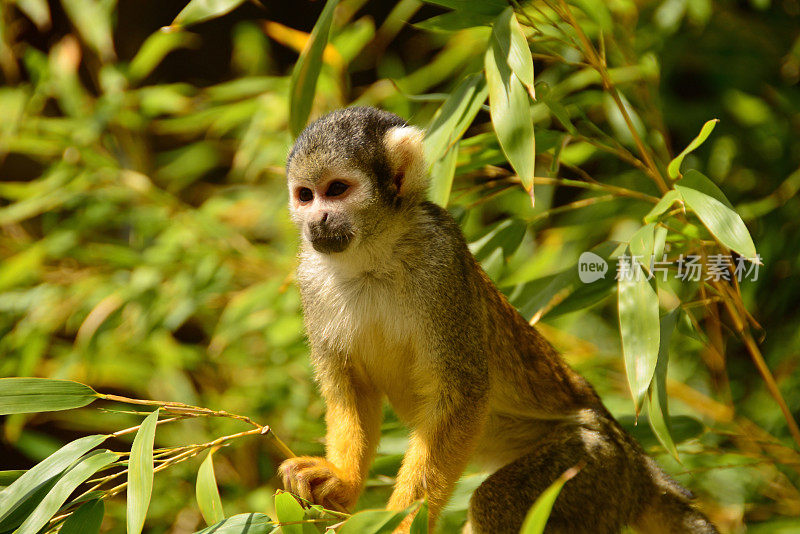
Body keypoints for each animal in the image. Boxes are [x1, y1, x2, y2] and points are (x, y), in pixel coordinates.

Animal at [282, 105, 720, 534]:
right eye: (305, 196)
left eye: (336, 189)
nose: (317, 220)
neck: (373, 259)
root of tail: (641, 468)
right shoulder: (310, 277)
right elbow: (351, 388)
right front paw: (342, 481)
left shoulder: (441, 259)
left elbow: (462, 397)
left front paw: (403, 523)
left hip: (597, 466)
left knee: (496, 502)